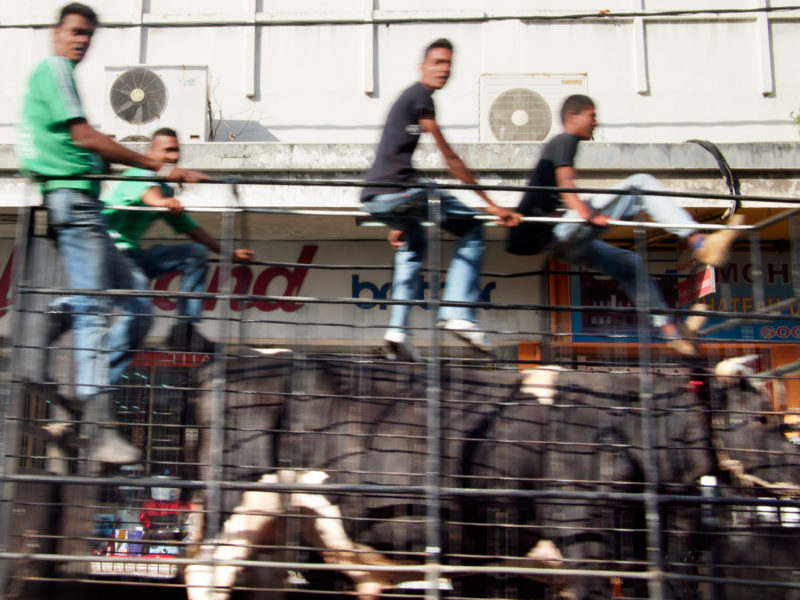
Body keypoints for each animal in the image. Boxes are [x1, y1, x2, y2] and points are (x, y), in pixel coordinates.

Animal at [184, 350, 796, 600]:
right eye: (757, 418)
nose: (796, 465)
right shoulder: (582, 543)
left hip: (278, 523)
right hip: (236, 507)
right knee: (207, 576)